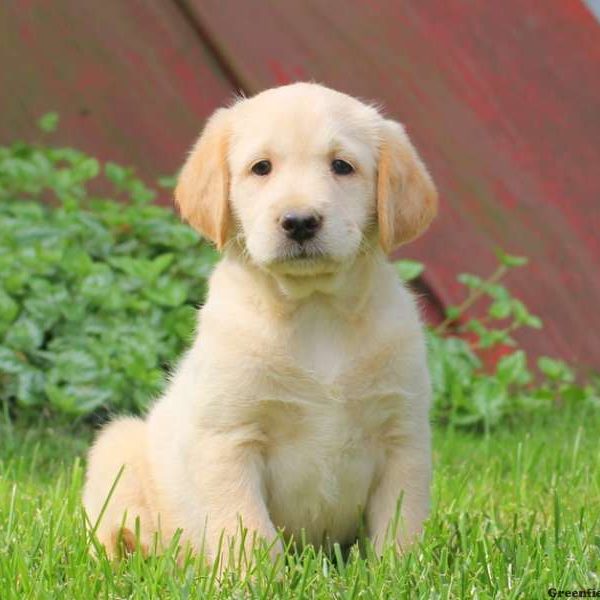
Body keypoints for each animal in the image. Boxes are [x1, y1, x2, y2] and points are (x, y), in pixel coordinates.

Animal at [82, 82, 438, 564]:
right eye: (261, 168)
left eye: (342, 166)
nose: (300, 222)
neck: (315, 309)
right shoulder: (228, 439)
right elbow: (247, 530)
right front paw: (252, 576)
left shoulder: (404, 437)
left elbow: (402, 528)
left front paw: (398, 571)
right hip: (117, 447)